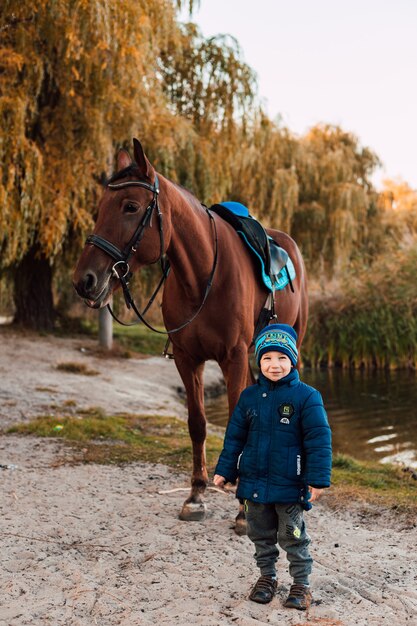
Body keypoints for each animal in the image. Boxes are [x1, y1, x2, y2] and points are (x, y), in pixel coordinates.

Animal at [73, 140, 308, 528]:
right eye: (99, 207)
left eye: (130, 206)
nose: (84, 280)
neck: (202, 277)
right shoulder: (187, 358)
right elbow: (197, 423)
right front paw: (196, 494)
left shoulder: (232, 357)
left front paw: (243, 510)